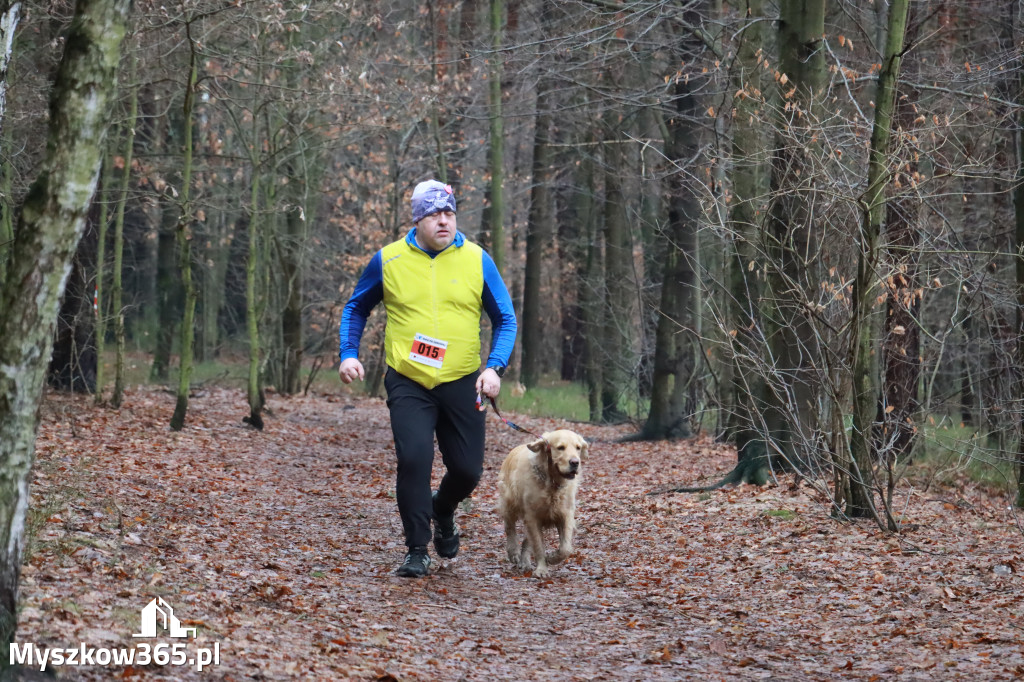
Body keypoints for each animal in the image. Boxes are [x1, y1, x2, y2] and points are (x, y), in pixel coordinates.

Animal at [497, 428, 589, 577]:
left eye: (578, 447)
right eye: (560, 448)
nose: (575, 462)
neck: (551, 483)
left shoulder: (565, 514)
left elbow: (565, 548)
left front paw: (552, 558)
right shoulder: (532, 516)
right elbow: (539, 546)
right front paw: (541, 569)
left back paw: (525, 562)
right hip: (509, 504)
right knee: (510, 529)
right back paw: (514, 552)